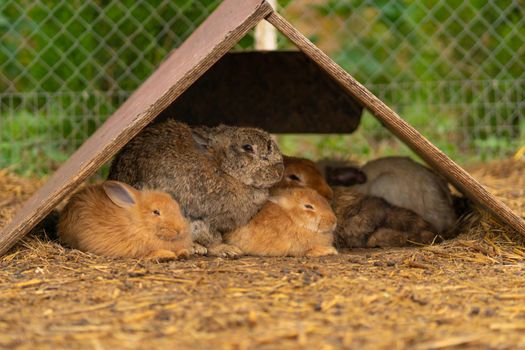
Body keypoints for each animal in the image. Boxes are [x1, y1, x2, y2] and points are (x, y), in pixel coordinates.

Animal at [57, 180, 192, 260]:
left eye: (177, 207)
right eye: (156, 212)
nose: (180, 229)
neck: (139, 223)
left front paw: (183, 252)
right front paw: (168, 255)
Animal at [107, 120, 284, 258]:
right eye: (247, 147)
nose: (279, 170)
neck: (222, 168)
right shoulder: (199, 218)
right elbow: (210, 237)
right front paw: (227, 250)